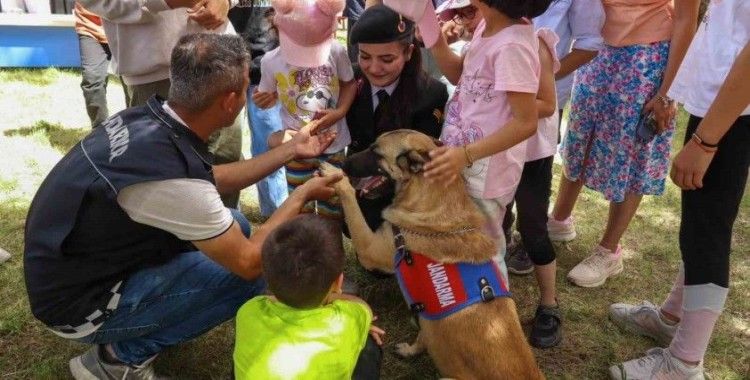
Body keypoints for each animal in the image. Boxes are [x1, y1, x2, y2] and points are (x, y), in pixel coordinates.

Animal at [320, 130, 544, 378]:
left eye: (375, 152)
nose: (343, 164)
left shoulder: (369, 247)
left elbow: (351, 202)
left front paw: (336, 178)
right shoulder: (427, 318)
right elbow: (424, 335)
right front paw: (412, 349)